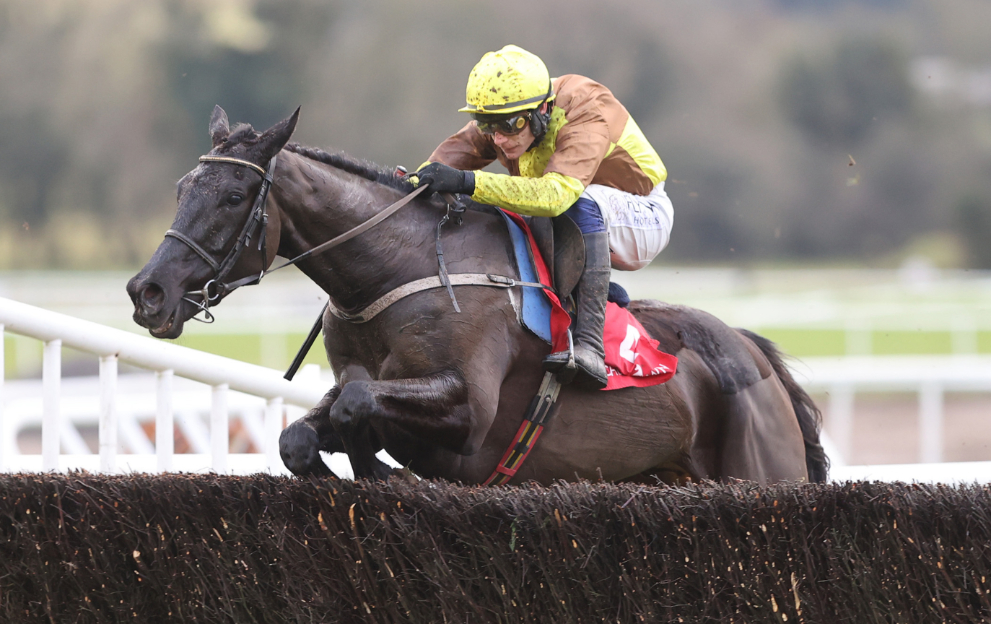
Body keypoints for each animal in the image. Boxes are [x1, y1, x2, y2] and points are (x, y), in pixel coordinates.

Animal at [126, 107, 828, 486]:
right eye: (183, 187)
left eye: (232, 195)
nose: (147, 292)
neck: (395, 272)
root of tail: (756, 356)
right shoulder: (355, 381)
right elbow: (301, 436)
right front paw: (360, 467)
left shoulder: (470, 416)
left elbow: (358, 406)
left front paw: (380, 472)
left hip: (760, 471)